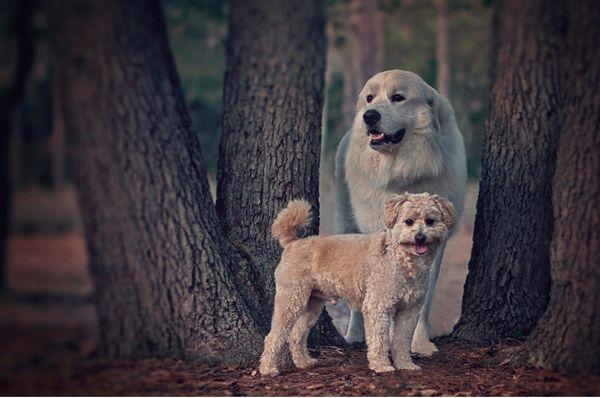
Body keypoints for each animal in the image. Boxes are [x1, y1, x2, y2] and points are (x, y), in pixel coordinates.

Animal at [332, 68, 468, 354]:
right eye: (370, 98)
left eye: (398, 97)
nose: (369, 116)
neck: (401, 170)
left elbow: (422, 302)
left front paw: (419, 343)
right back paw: (354, 334)